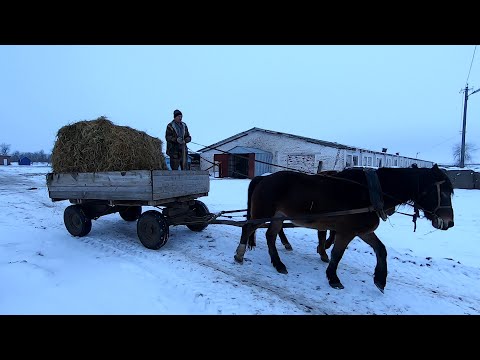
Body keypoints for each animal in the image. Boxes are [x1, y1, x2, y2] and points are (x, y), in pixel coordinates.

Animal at [234, 165, 456, 292]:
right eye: (442, 192)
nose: (449, 222)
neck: (370, 192)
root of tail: (264, 178)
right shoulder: (347, 231)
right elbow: (337, 254)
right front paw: (333, 278)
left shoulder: (362, 230)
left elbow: (381, 250)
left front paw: (380, 279)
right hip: (264, 213)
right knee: (248, 228)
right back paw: (239, 255)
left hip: (278, 217)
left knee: (271, 236)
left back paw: (278, 264)